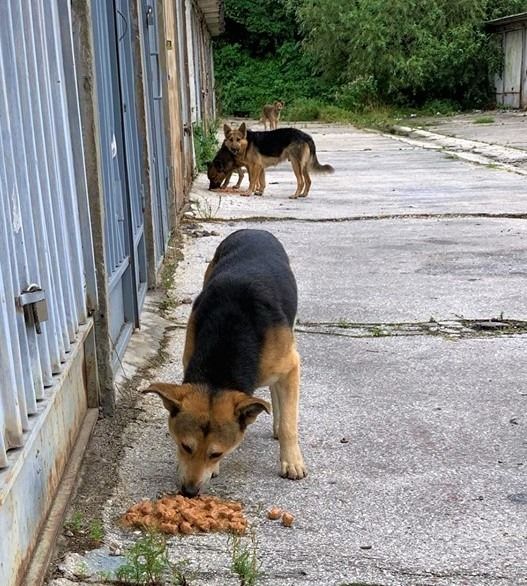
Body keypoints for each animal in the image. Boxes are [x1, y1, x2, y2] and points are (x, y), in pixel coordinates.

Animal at [145, 228, 310, 492]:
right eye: (185, 446)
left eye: (216, 454)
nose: (189, 492)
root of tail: (253, 230)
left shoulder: (291, 365)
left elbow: (289, 422)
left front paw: (291, 461)